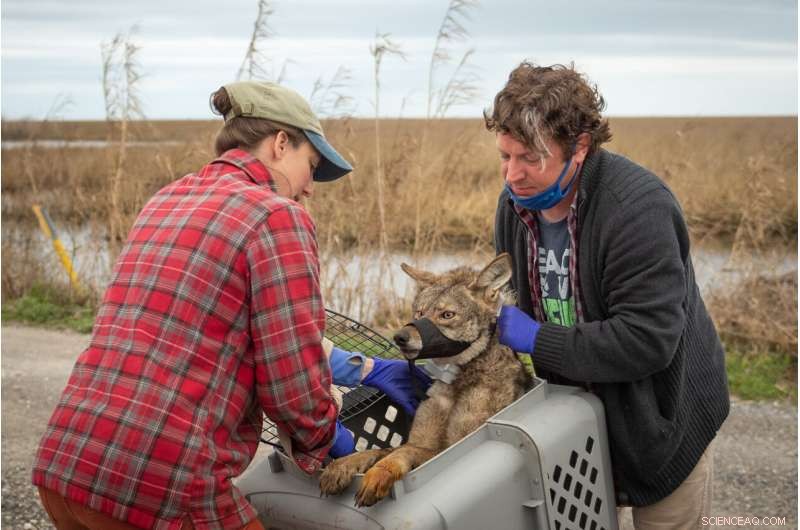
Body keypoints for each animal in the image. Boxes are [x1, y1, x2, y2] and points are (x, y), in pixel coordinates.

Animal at [319, 253, 533, 506]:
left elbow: (400, 453)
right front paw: (341, 465)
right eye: (420, 313)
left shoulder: (449, 447)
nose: (399, 337)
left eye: (447, 315)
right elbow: (378, 451)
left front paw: (378, 474)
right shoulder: (421, 442)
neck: (457, 381)